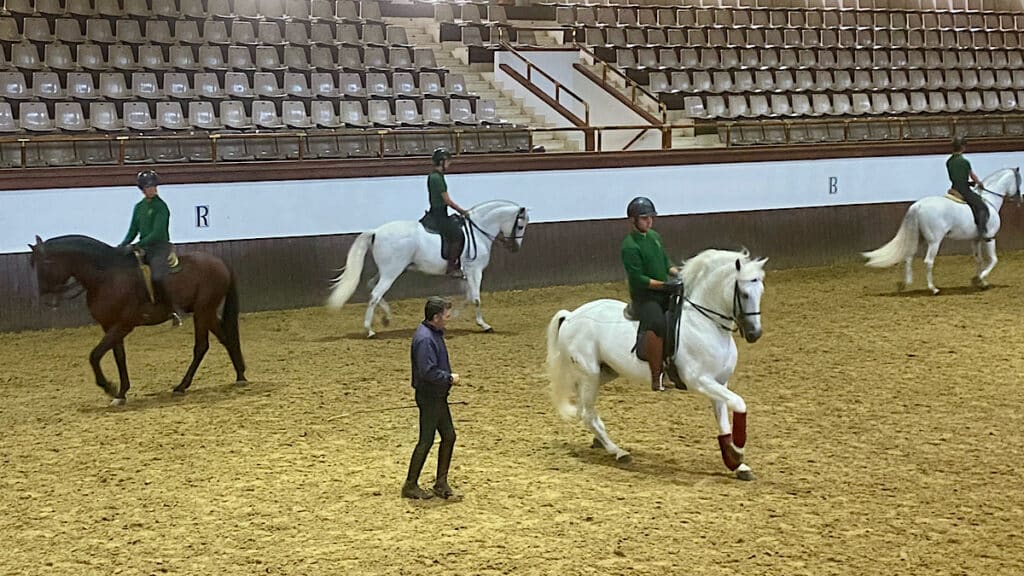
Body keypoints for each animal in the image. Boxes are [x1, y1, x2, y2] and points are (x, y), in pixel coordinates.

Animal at [28, 233, 245, 403]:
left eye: (45, 264)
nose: (47, 300)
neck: (106, 276)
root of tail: (220, 262)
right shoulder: (109, 325)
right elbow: (118, 356)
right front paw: (121, 393)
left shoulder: (124, 324)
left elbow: (95, 355)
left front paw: (109, 387)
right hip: (207, 311)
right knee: (225, 337)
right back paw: (240, 375)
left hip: (202, 311)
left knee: (201, 346)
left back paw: (182, 386)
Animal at [327, 199, 532, 334]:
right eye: (521, 226)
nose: (515, 248)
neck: (478, 231)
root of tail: (376, 232)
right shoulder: (475, 271)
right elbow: (475, 298)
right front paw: (484, 325)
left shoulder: (466, 274)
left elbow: (468, 297)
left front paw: (453, 316)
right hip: (391, 272)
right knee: (375, 294)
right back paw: (369, 329)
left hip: (388, 271)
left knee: (372, 288)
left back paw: (386, 318)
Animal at [548, 249, 765, 477]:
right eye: (744, 294)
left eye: (760, 291)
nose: (755, 333)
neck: (705, 324)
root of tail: (571, 316)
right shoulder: (700, 381)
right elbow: (739, 403)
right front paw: (738, 452)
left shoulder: (720, 383)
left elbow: (724, 422)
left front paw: (736, 464)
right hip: (590, 374)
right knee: (587, 413)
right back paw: (618, 452)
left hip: (603, 373)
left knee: (582, 405)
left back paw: (599, 441)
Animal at [860, 165, 1019, 291]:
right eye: (1019, 180)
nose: (1019, 200)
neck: (989, 200)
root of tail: (918, 205)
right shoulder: (990, 237)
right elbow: (993, 260)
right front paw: (980, 279)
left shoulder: (976, 240)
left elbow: (978, 260)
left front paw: (981, 281)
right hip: (934, 241)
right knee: (928, 261)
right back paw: (933, 288)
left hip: (919, 238)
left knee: (908, 256)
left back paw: (905, 284)